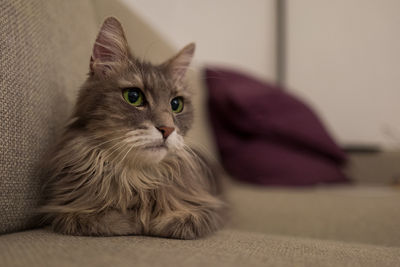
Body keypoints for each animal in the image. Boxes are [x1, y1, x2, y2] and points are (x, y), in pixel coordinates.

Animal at [39, 16, 228, 240]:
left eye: (176, 104)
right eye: (133, 97)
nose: (167, 129)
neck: (137, 178)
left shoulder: (209, 211)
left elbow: (189, 220)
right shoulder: (68, 213)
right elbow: (104, 220)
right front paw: (131, 222)